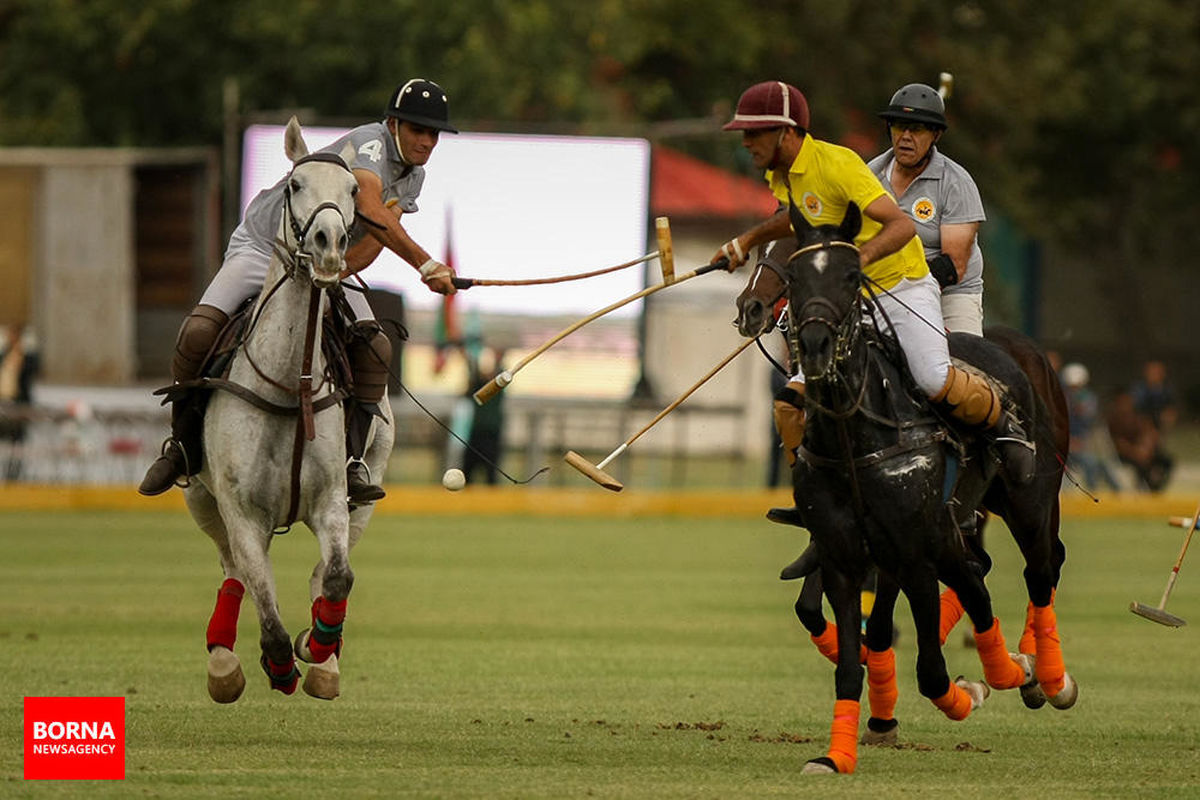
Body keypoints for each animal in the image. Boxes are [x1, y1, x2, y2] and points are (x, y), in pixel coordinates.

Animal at [184, 117, 393, 700]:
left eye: (353, 192)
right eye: (294, 185)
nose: (329, 247)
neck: (286, 383)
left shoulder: (333, 501)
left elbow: (338, 576)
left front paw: (317, 648)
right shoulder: (242, 511)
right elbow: (260, 592)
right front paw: (276, 665)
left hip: (367, 492)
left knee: (323, 571)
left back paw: (325, 658)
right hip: (202, 500)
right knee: (234, 571)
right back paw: (223, 664)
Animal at [739, 203, 1080, 772]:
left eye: (850, 276)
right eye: (774, 257)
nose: (751, 308)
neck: (856, 429)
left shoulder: (907, 547)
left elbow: (912, 649)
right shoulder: (843, 548)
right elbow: (824, 619)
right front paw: (850, 737)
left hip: (1029, 501)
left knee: (1040, 569)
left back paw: (1046, 678)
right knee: (982, 570)